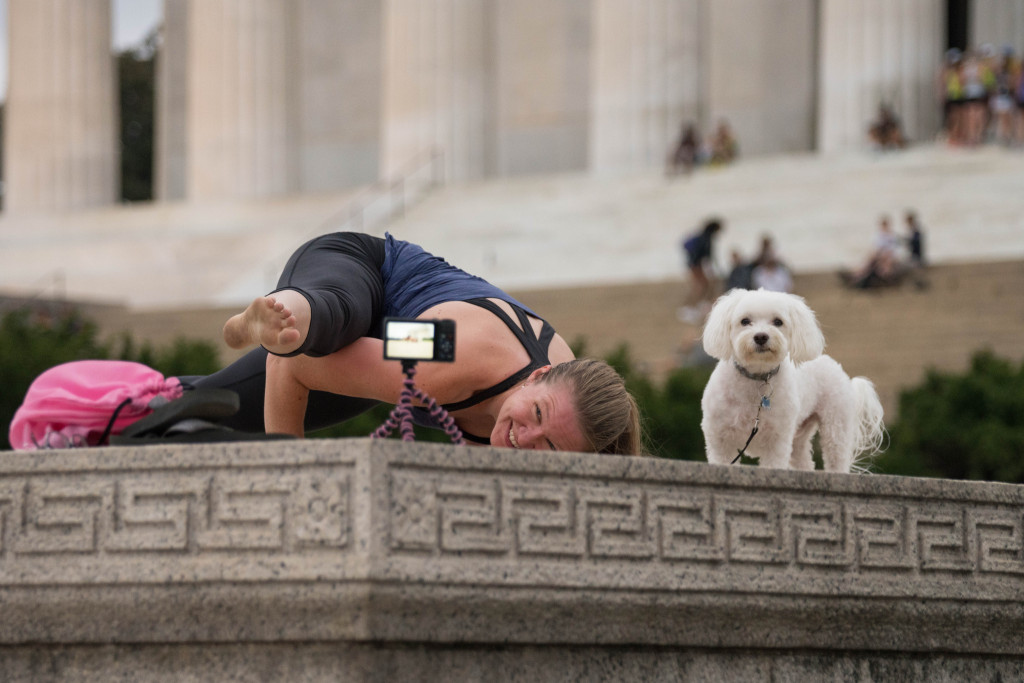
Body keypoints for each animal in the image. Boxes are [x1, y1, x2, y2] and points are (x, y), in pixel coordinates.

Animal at [700, 286, 884, 473]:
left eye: (778, 322)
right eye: (744, 321)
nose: (761, 336)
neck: (757, 375)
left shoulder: (777, 439)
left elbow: (774, 462)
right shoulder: (720, 438)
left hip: (836, 424)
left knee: (836, 457)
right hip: (799, 437)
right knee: (804, 461)